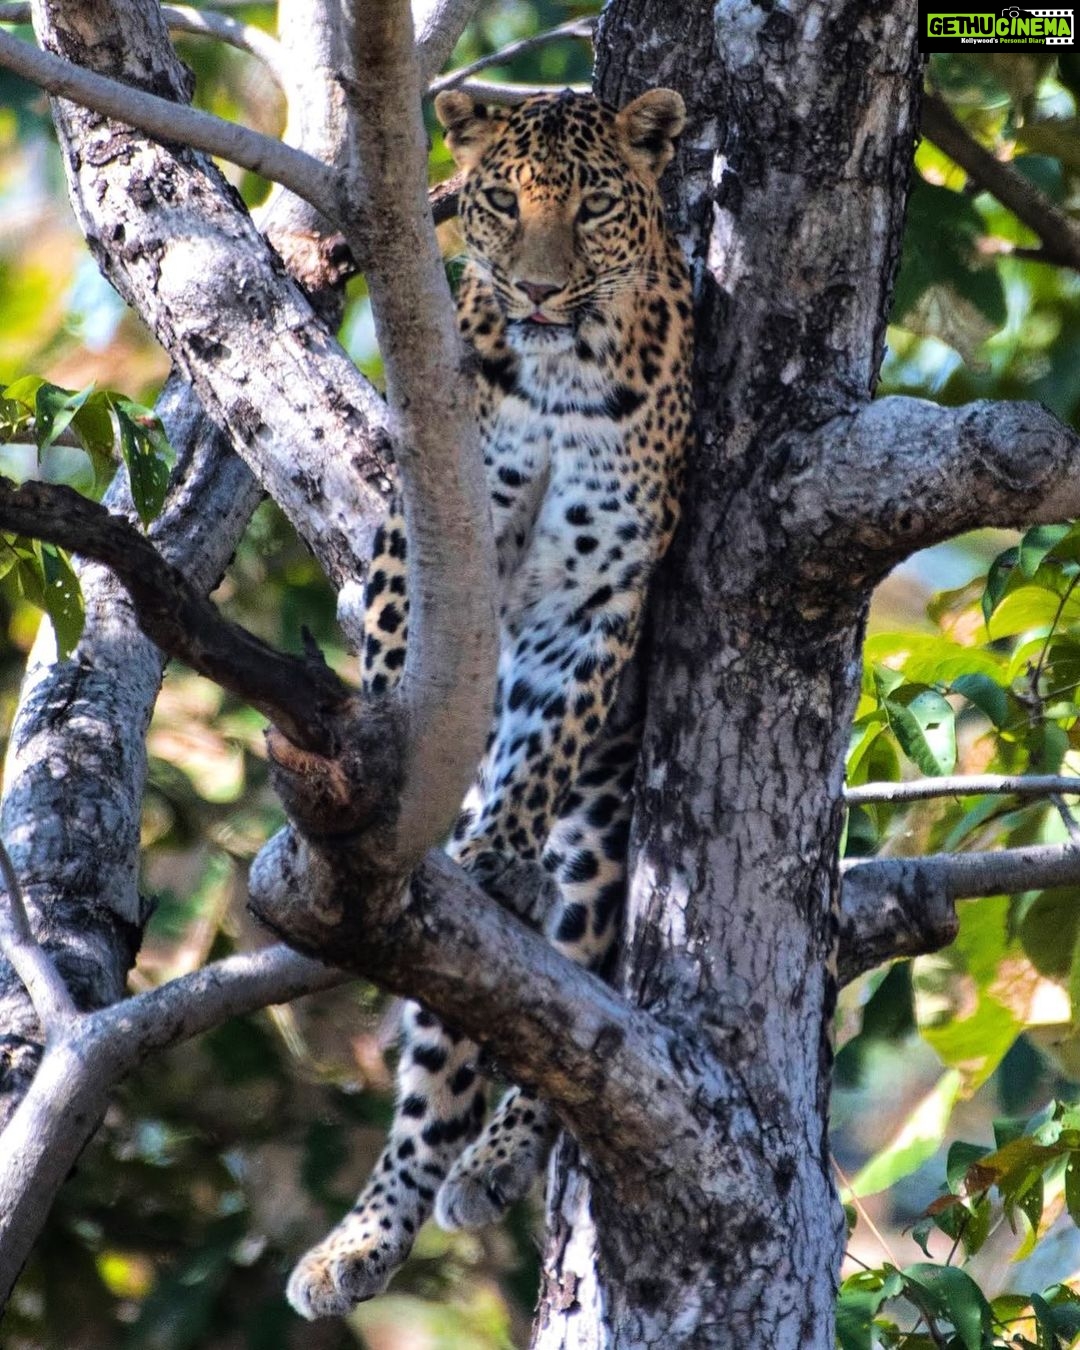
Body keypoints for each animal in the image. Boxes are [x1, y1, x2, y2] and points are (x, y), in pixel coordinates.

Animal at [287, 84, 693, 1320]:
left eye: (596, 205)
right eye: (504, 203)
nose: (543, 292)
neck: (562, 378)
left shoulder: (601, 591)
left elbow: (548, 734)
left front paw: (505, 849)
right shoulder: (421, 544)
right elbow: (390, 669)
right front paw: (373, 777)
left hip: (604, 836)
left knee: (568, 1018)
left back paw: (499, 1157)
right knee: (441, 1064)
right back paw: (364, 1238)